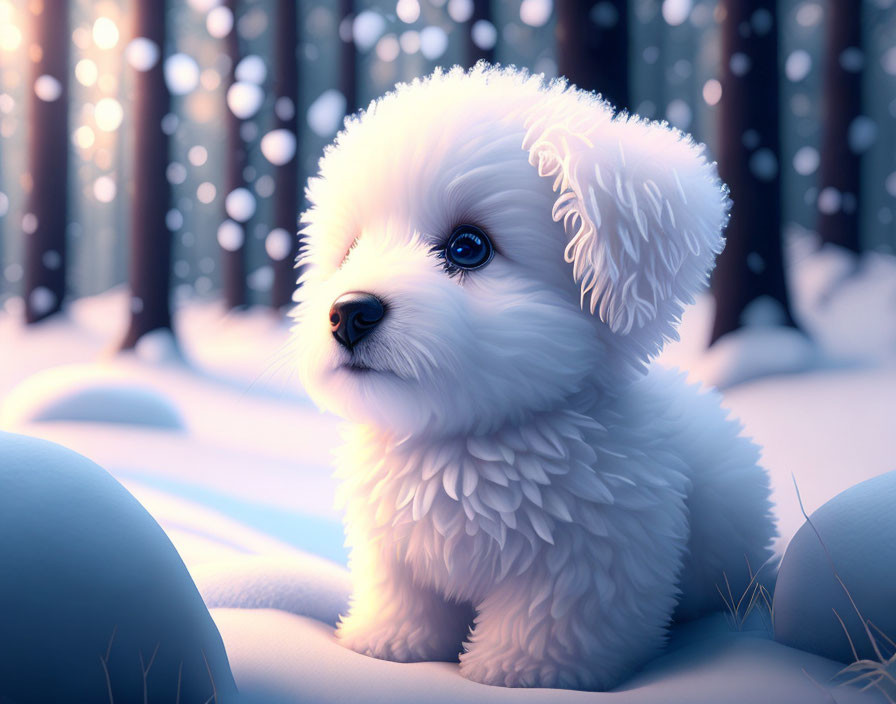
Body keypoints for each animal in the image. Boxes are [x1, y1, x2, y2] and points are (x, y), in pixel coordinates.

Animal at [290, 67, 772, 692]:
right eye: (349, 251)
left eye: (469, 247)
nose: (348, 312)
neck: (460, 446)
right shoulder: (395, 550)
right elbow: (404, 599)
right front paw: (388, 643)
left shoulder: (590, 558)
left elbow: (550, 622)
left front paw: (520, 672)